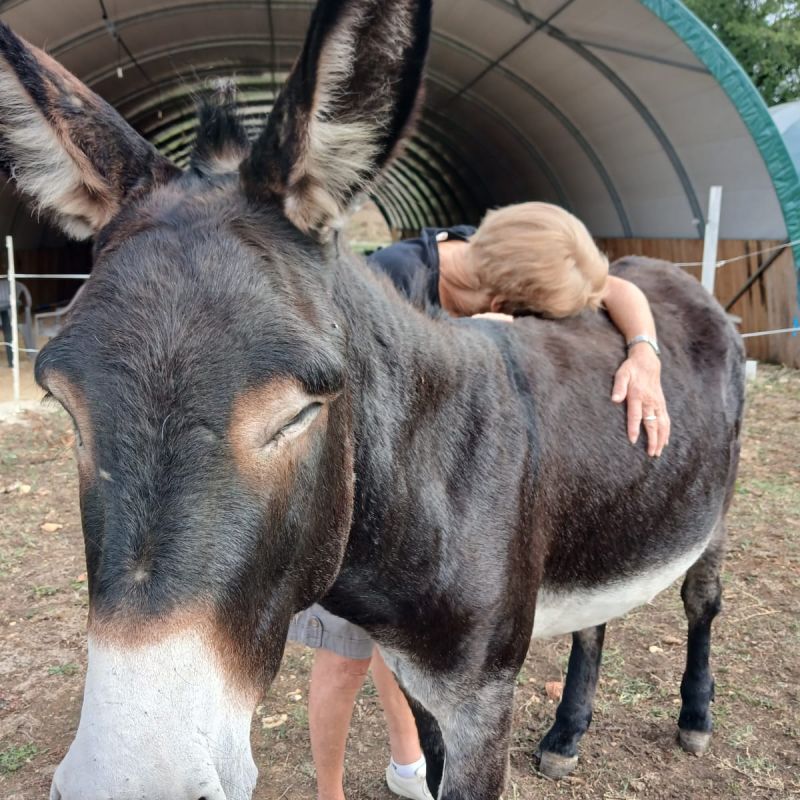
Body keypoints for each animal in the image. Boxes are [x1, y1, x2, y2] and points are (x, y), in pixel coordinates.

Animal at [0, 1, 743, 798]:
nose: (131, 782)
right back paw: (567, 734)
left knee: (702, 601)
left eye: (300, 411)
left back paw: (695, 718)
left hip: (714, 510)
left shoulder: (484, 703)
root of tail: (666, 272)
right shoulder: (414, 677)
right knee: (595, 620)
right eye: (64, 405)